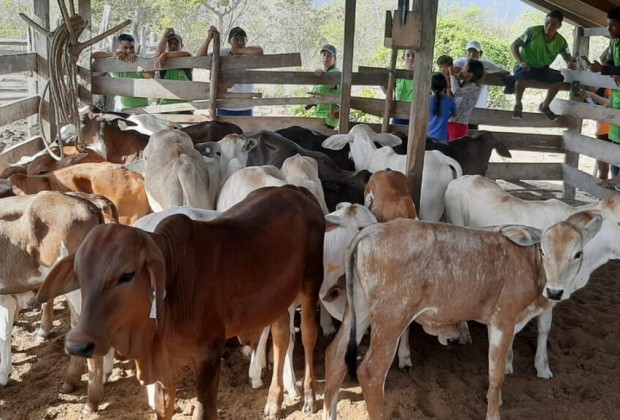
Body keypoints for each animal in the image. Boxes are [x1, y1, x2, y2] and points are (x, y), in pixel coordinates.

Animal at [35, 187, 324, 420]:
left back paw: (309, 397)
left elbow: (205, 411)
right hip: (279, 298)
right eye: (80, 274)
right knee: (281, 337)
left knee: (309, 334)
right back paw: (274, 402)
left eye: (126, 275)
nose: (78, 345)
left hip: (311, 284)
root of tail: (296, 191)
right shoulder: (165, 367)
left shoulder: (209, 356)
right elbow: (163, 408)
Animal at [324, 213, 600, 420]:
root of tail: (370, 231)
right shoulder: (502, 320)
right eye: (543, 250)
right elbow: (496, 374)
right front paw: (493, 413)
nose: (555, 291)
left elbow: (503, 365)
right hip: (392, 316)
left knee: (335, 356)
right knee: (371, 373)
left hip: (359, 308)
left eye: (578, 253)